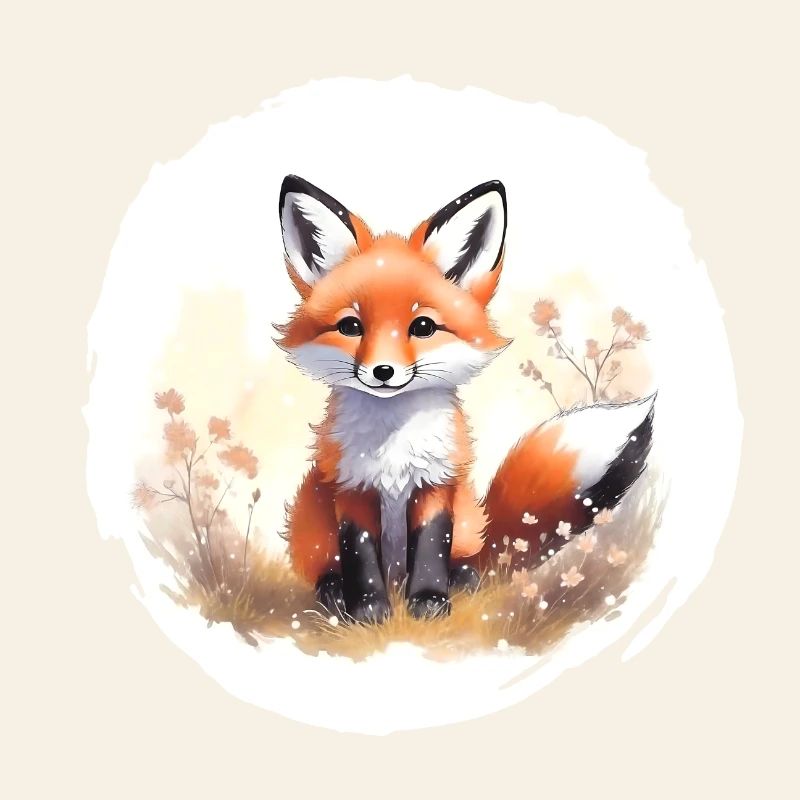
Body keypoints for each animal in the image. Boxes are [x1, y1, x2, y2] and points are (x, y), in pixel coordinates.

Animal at [276, 175, 654, 624]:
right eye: (350, 326)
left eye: (423, 326)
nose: (382, 372)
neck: (393, 445)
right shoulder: (352, 487)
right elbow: (361, 554)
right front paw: (368, 610)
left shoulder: (437, 482)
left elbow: (430, 547)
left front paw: (429, 601)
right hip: (310, 520)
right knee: (327, 567)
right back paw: (334, 593)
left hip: (469, 521)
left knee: (470, 560)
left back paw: (461, 580)